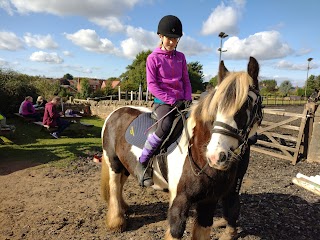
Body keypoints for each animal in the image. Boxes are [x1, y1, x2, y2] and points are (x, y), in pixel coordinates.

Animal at [100, 57, 262, 239]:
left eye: (248, 104)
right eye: (216, 106)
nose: (216, 156)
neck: (197, 152)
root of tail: (115, 112)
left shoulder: (209, 201)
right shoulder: (180, 201)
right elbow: (175, 231)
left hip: (125, 165)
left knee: (120, 183)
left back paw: (124, 208)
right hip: (113, 161)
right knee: (114, 186)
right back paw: (117, 222)